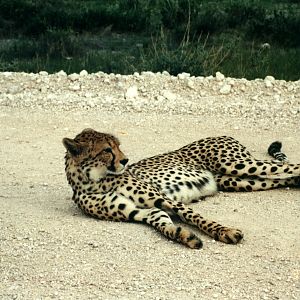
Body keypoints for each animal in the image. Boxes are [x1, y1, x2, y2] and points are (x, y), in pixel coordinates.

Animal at [62, 129, 298, 248]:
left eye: (118, 146)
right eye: (106, 150)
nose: (125, 160)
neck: (93, 180)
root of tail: (224, 135)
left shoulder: (164, 199)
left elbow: (196, 217)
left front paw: (225, 232)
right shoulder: (140, 211)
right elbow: (163, 223)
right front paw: (184, 236)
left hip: (237, 164)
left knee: (290, 166)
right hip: (238, 180)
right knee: (278, 177)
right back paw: (296, 181)